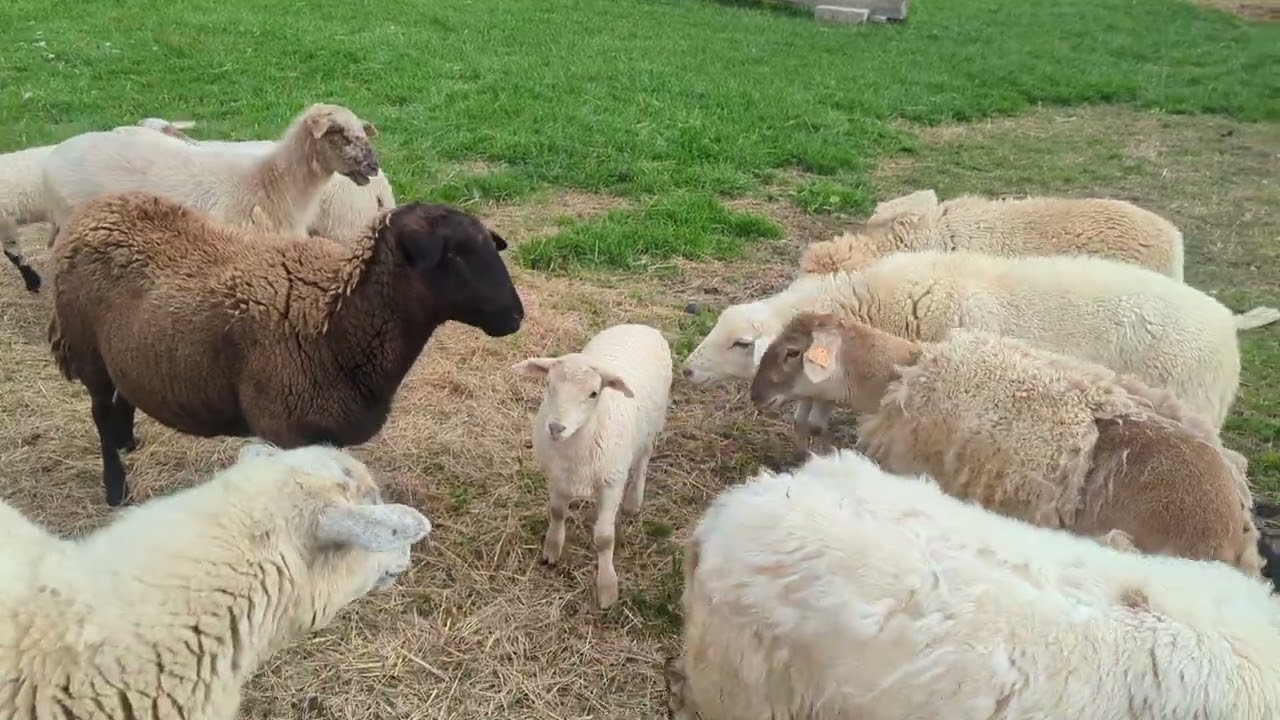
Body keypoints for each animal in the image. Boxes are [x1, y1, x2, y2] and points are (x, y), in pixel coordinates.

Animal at [47, 191, 525, 507]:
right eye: (454, 256)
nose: (515, 316)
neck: (334, 322)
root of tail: (97, 208)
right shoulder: (287, 430)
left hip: (128, 347)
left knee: (125, 390)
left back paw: (128, 440)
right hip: (86, 346)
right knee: (99, 412)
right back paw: (115, 487)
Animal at [510, 323, 673, 610]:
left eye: (593, 393)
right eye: (549, 385)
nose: (555, 428)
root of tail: (639, 325)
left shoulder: (612, 481)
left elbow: (604, 539)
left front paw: (607, 587)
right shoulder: (556, 476)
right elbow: (557, 512)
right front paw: (552, 550)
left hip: (652, 425)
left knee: (643, 459)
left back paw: (634, 501)